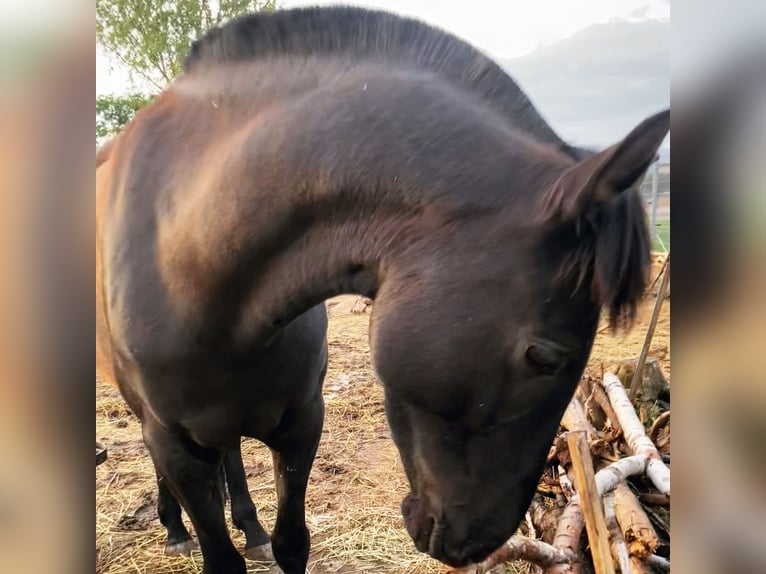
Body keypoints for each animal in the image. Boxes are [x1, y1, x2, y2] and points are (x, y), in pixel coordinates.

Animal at [97, 5, 672, 574]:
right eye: (544, 357)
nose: (478, 543)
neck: (193, 259)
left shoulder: (301, 422)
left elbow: (292, 542)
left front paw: (263, 535)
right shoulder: (175, 444)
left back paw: (249, 527)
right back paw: (175, 529)